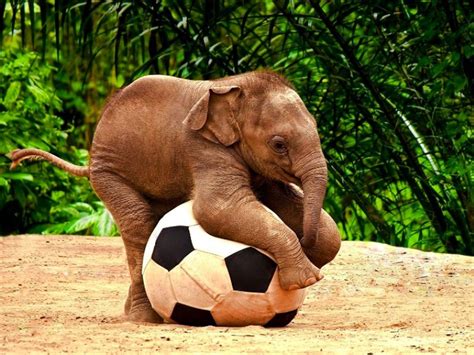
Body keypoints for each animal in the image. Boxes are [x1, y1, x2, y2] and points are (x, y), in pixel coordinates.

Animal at [11, 71, 340, 324]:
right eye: (279, 144)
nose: (305, 241)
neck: (236, 86)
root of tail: (90, 160)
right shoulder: (203, 148)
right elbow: (216, 209)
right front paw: (308, 278)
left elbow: (303, 215)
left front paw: (312, 259)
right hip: (110, 173)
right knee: (139, 224)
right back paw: (145, 318)